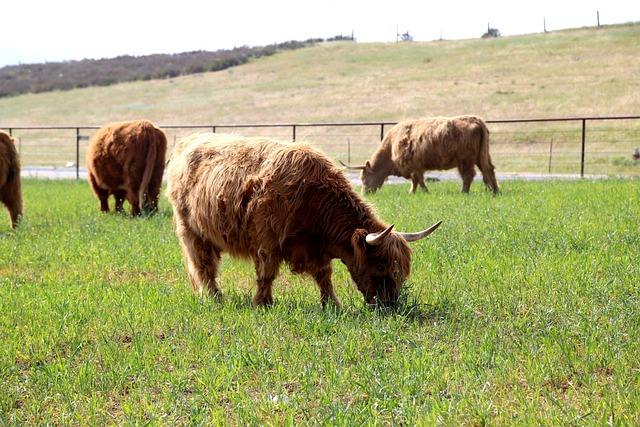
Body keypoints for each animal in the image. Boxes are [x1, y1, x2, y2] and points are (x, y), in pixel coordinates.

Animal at [166, 133, 442, 308]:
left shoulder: (315, 249)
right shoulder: (267, 242)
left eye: (402, 270)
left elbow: (324, 275)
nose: (391, 304)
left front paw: (331, 304)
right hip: (191, 231)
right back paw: (214, 298)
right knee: (204, 266)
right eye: (382, 265)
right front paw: (263, 303)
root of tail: (188, 142)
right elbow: (266, 273)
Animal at [342, 115, 499, 194]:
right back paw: (495, 191)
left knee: (468, 175)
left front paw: (421, 192)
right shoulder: (416, 167)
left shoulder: (414, 166)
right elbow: (416, 181)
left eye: (365, 178)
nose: (364, 193)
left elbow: (418, 180)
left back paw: (463, 192)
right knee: (488, 170)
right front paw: (413, 193)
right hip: (482, 156)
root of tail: (476, 119)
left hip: (465, 161)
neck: (391, 145)